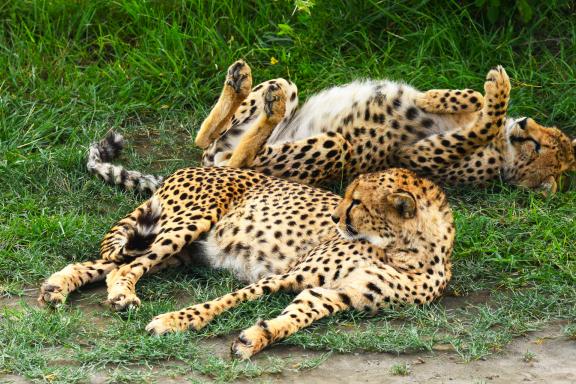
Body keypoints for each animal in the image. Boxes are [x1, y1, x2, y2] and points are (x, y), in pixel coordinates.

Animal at [39, 166, 454, 358]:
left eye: (356, 202)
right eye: (347, 196)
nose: (336, 216)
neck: (405, 251)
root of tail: (189, 168)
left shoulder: (335, 295)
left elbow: (295, 317)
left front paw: (256, 338)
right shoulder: (292, 273)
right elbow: (225, 301)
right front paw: (176, 322)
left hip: (179, 252)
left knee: (108, 263)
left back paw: (58, 286)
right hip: (186, 225)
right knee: (123, 266)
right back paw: (121, 294)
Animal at [88, 63, 572, 195]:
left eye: (539, 151)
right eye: (545, 135)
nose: (525, 125)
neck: (505, 151)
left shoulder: (418, 156)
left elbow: (479, 124)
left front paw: (495, 94)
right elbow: (470, 101)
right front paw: (448, 96)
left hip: (334, 146)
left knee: (236, 159)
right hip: (287, 87)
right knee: (206, 137)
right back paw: (242, 82)